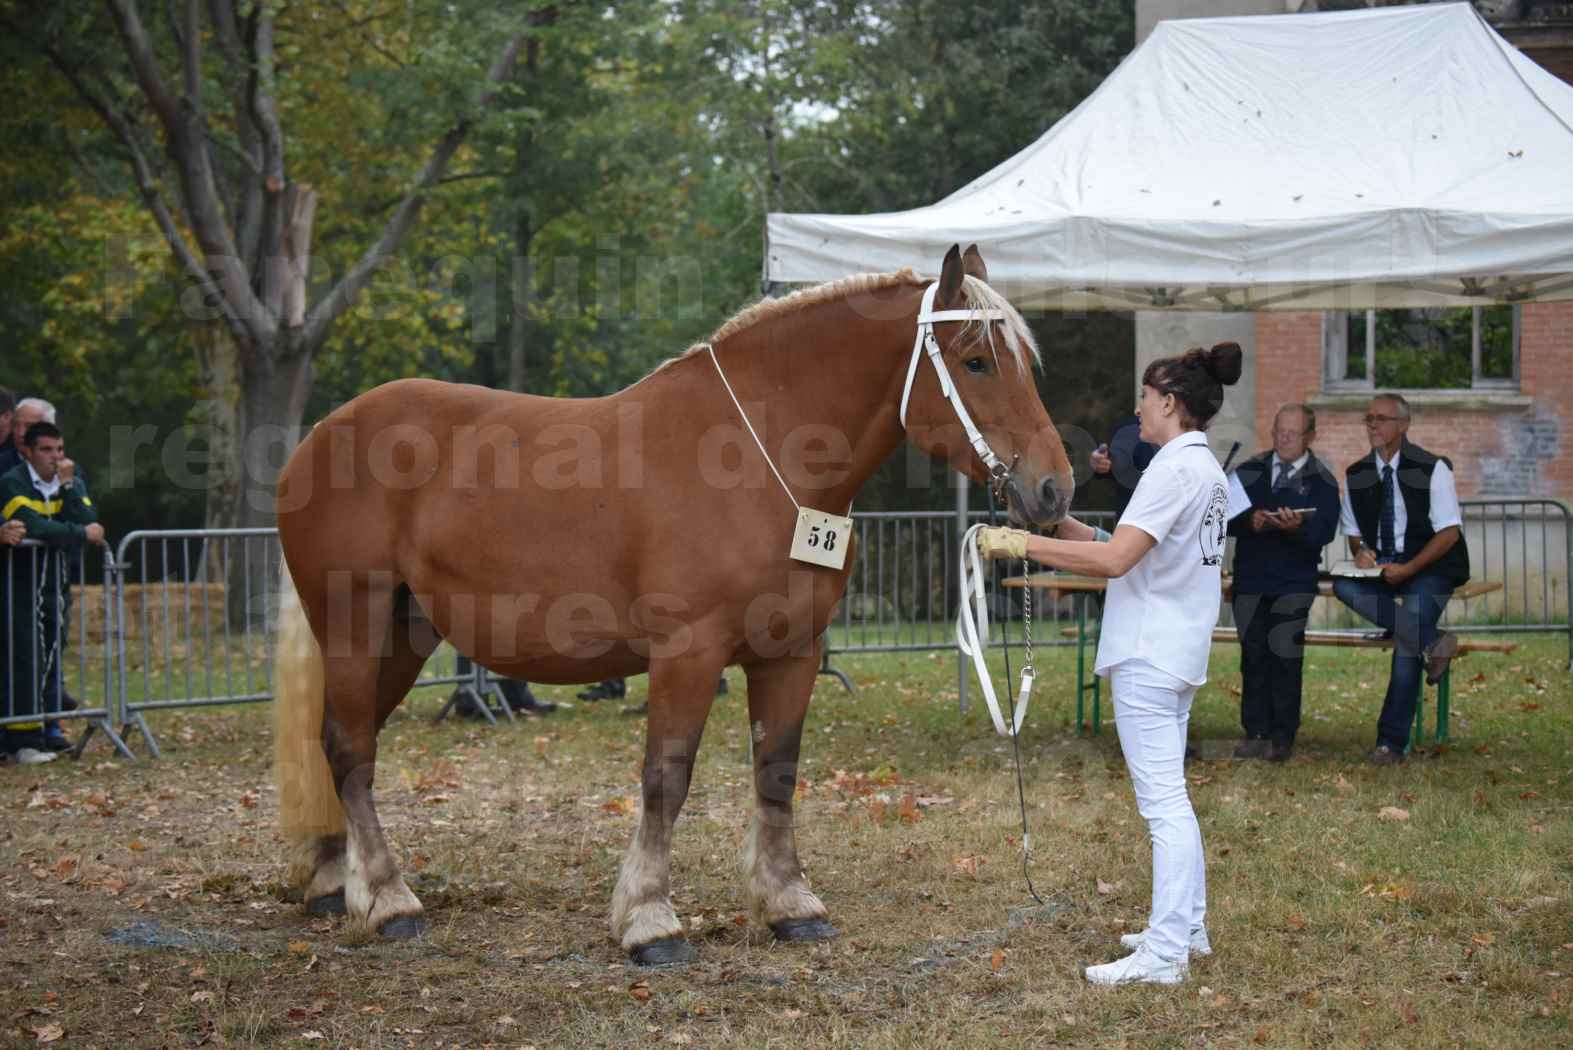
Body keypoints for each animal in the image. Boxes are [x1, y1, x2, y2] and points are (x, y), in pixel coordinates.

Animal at [276, 242, 1075, 961]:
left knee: (335, 741)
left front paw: (790, 904)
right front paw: (649, 919)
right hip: (354, 622)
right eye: (975, 361)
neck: (756, 458)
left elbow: (776, 771)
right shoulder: (688, 653)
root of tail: (317, 436)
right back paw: (387, 901)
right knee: (351, 750)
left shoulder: (791, 652)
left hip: (405, 635)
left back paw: (332, 884)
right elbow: (667, 777)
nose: (1053, 489)